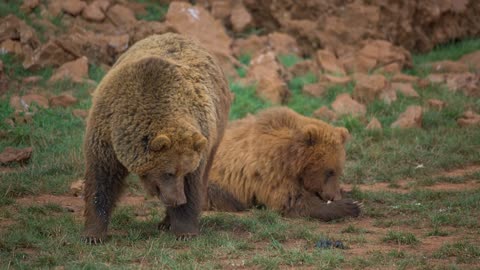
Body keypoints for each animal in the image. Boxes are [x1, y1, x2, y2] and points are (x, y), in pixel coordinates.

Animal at [82, 33, 231, 243]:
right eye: (169, 172)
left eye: (185, 171)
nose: (179, 200)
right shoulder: (105, 134)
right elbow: (101, 180)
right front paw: (93, 234)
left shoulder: (199, 138)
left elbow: (194, 184)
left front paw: (185, 229)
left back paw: (167, 222)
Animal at [206, 107, 360, 221]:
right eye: (329, 171)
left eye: (339, 171)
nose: (334, 196)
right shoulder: (271, 171)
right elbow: (292, 201)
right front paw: (350, 206)